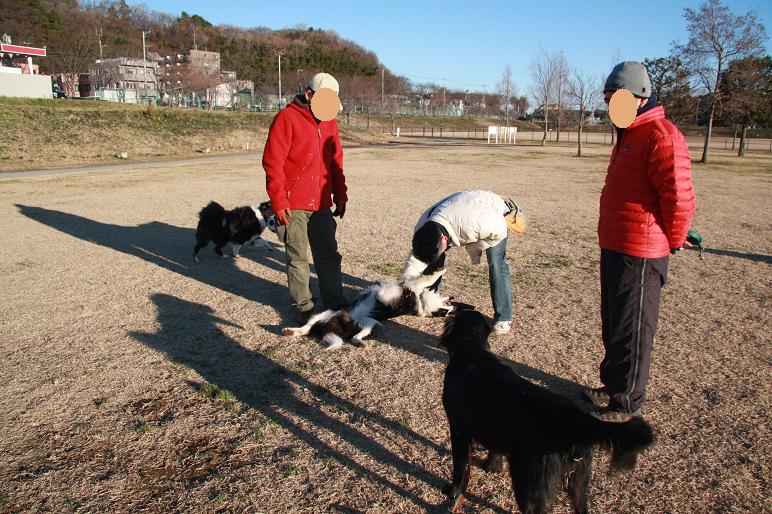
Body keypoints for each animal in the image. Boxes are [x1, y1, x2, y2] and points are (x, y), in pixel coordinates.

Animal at [440, 308, 652, 512]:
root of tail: (575, 419)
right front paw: (492, 467)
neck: (472, 351)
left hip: (530, 484)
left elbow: (459, 468)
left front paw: (452, 492)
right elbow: (494, 450)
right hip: (578, 482)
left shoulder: (458, 429)